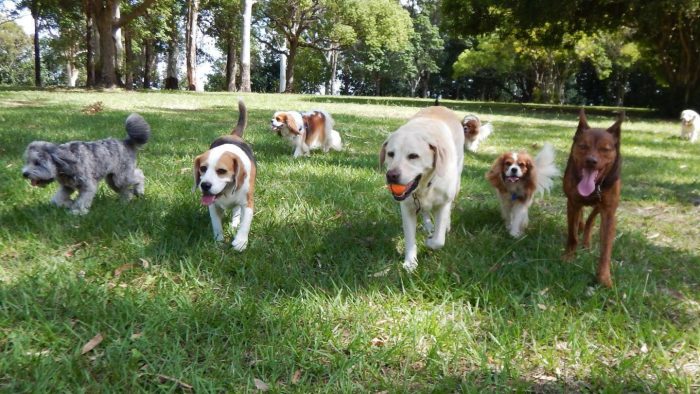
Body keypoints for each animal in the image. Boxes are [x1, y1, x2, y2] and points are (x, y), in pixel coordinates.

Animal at [22, 114, 152, 214]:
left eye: (37, 162)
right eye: (27, 161)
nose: (24, 174)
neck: (65, 163)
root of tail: (126, 142)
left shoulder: (88, 186)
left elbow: (82, 201)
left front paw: (77, 212)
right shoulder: (67, 187)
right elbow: (57, 199)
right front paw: (68, 203)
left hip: (121, 177)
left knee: (139, 175)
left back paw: (139, 191)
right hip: (113, 180)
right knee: (126, 191)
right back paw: (124, 202)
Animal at [193, 100, 256, 251]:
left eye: (221, 171)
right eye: (202, 168)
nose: (205, 185)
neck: (226, 191)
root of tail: (233, 135)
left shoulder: (248, 202)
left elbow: (246, 222)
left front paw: (241, 241)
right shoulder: (213, 206)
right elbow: (216, 224)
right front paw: (219, 241)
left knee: (236, 211)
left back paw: (234, 224)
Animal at [380, 105, 462, 270]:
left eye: (413, 156)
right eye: (390, 154)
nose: (391, 175)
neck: (425, 185)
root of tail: (441, 106)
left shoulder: (443, 203)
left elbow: (438, 240)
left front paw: (430, 241)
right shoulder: (407, 208)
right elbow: (410, 238)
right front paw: (410, 262)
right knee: (424, 211)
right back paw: (428, 225)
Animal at [564, 109, 624, 288]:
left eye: (605, 149)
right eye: (583, 146)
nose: (591, 161)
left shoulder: (609, 212)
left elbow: (606, 249)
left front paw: (603, 277)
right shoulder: (572, 202)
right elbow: (572, 234)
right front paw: (569, 256)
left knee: (590, 218)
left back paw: (586, 239)